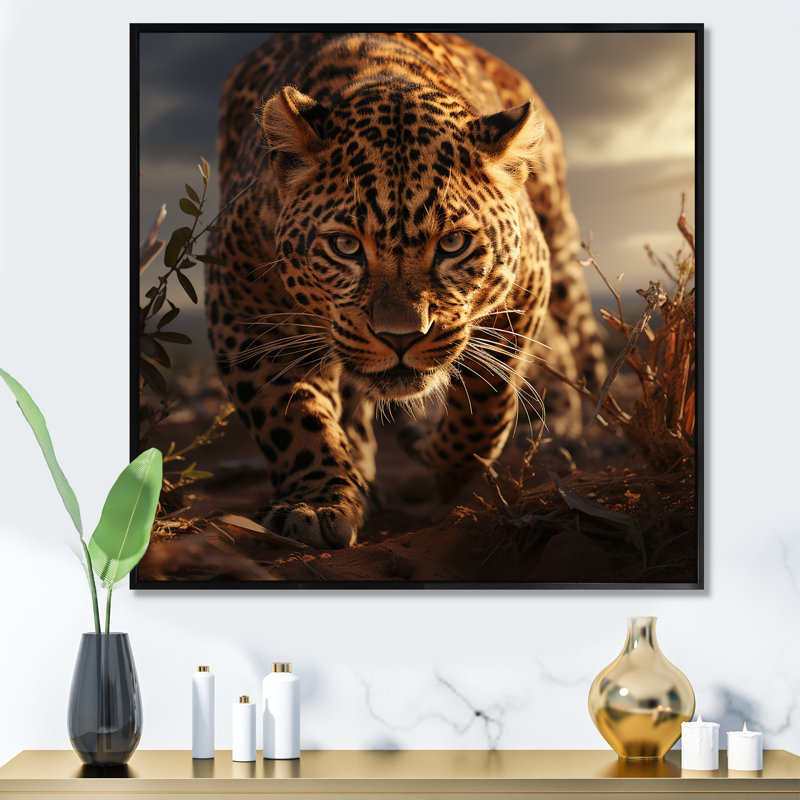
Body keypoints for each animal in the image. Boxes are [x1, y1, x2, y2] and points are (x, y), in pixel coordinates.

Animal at [206, 32, 606, 549]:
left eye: (453, 243)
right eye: (345, 245)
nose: (401, 338)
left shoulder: (528, 281)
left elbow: (488, 400)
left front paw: (449, 468)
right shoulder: (243, 302)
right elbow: (291, 417)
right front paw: (316, 501)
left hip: (560, 243)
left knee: (578, 340)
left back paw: (578, 434)